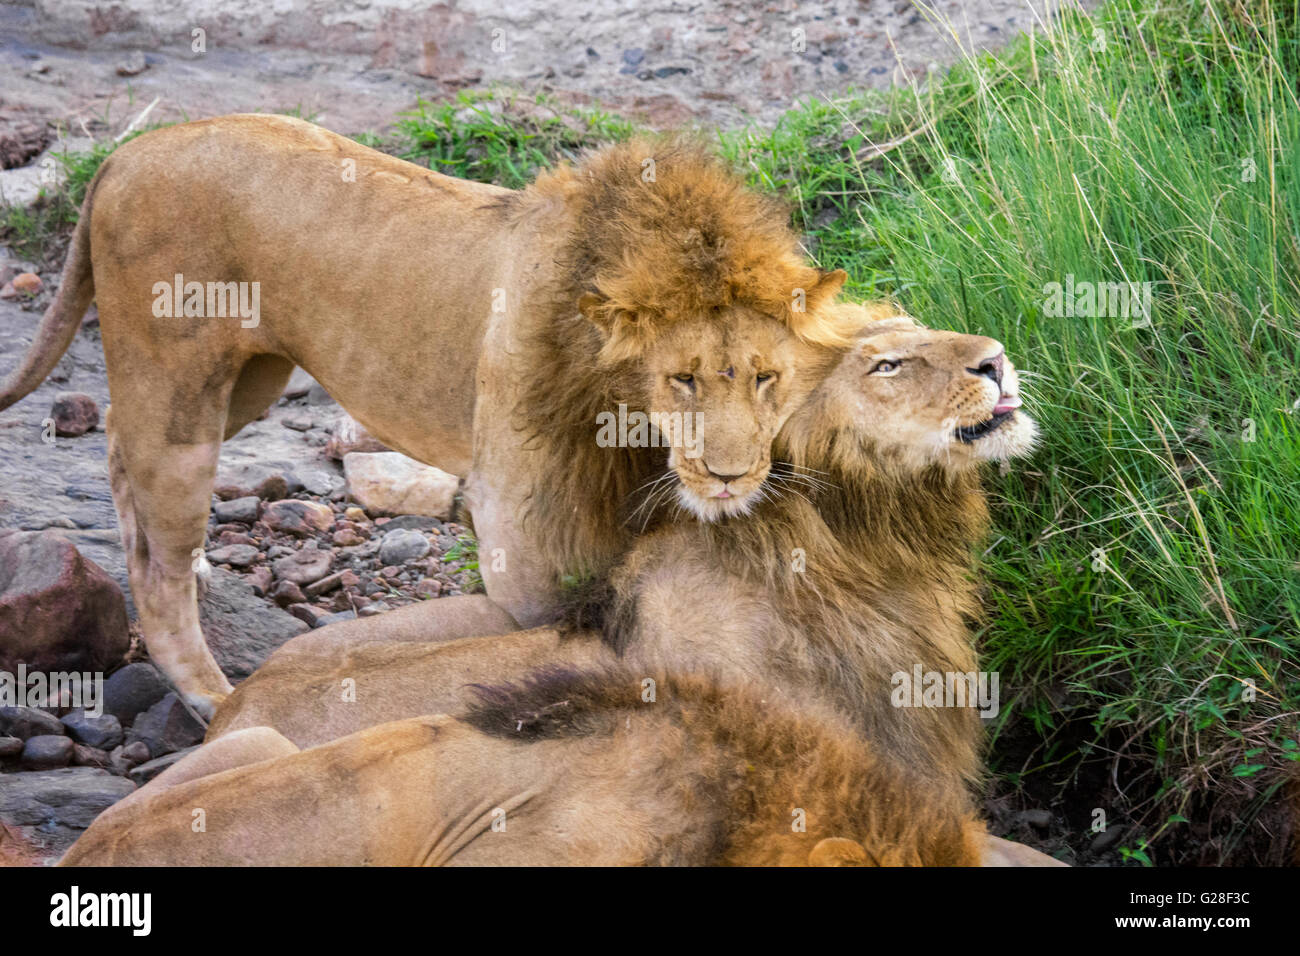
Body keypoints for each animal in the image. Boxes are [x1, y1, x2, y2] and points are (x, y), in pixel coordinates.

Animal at [0, 117, 852, 717]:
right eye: (681, 380)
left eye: (767, 377)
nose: (731, 476)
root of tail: (123, 157)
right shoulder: (522, 526)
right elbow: (553, 622)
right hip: (179, 388)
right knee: (157, 563)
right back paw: (209, 691)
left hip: (248, 381)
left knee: (117, 440)